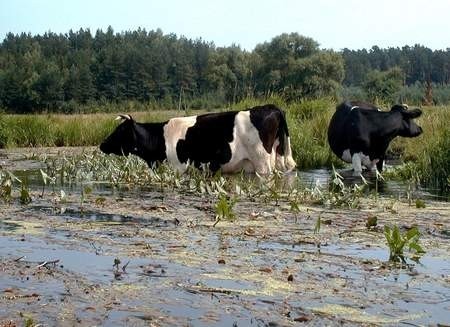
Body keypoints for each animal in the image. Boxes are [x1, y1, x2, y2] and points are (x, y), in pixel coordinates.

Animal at [99, 105, 296, 176]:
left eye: (119, 131)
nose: (101, 145)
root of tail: (272, 107)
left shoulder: (178, 167)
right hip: (278, 158)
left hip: (262, 162)